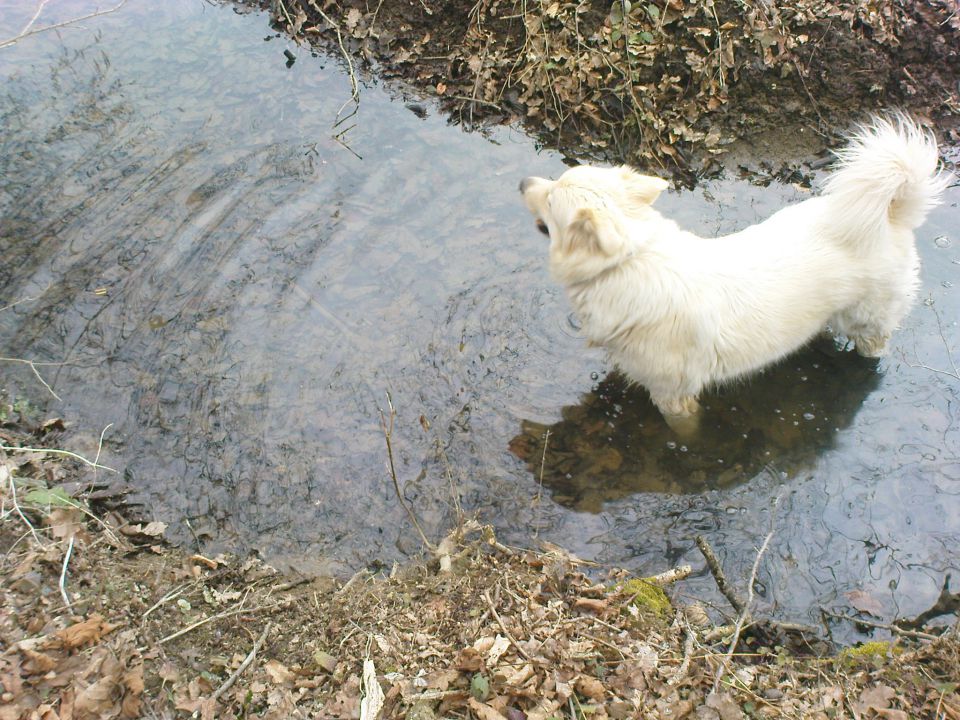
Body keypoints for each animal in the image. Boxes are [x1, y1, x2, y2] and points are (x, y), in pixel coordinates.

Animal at [516, 116, 944, 434]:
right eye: (555, 182)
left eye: (550, 198)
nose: (523, 181)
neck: (627, 262)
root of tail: (889, 214)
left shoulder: (674, 396)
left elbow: (684, 430)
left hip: (868, 321)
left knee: (873, 344)